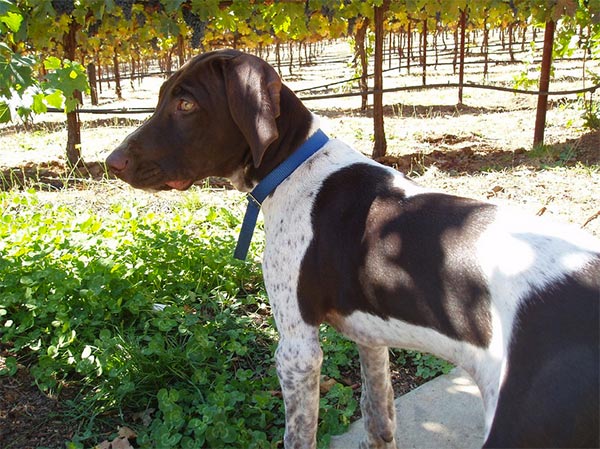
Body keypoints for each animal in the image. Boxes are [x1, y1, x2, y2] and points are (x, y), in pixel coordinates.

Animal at [108, 49, 600, 448]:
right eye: (161, 96)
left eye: (186, 104)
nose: (113, 163)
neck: (294, 167)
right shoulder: (372, 337)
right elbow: (378, 417)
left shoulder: (298, 349)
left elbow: (299, 435)